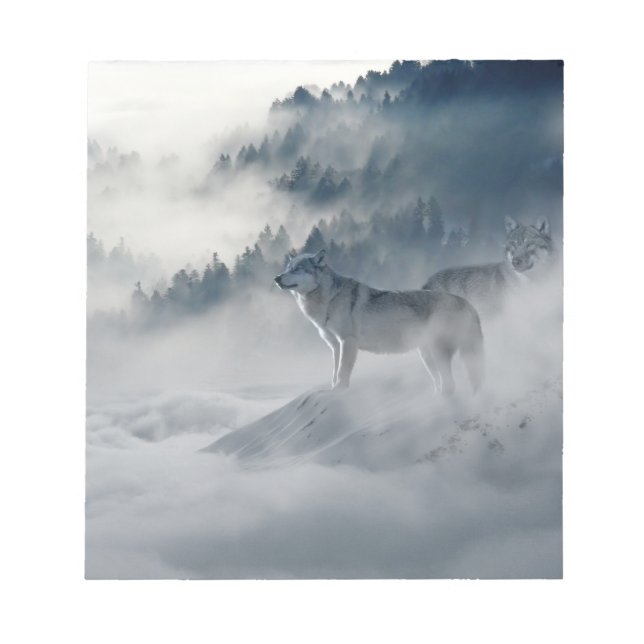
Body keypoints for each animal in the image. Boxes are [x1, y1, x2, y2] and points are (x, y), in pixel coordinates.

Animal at [274, 249, 484, 394]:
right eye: (286, 269)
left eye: (297, 269)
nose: (276, 278)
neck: (329, 299)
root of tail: (467, 303)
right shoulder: (335, 346)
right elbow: (334, 374)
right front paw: (332, 390)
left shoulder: (347, 342)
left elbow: (342, 373)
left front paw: (339, 392)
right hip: (427, 356)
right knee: (443, 383)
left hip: (438, 353)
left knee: (451, 384)